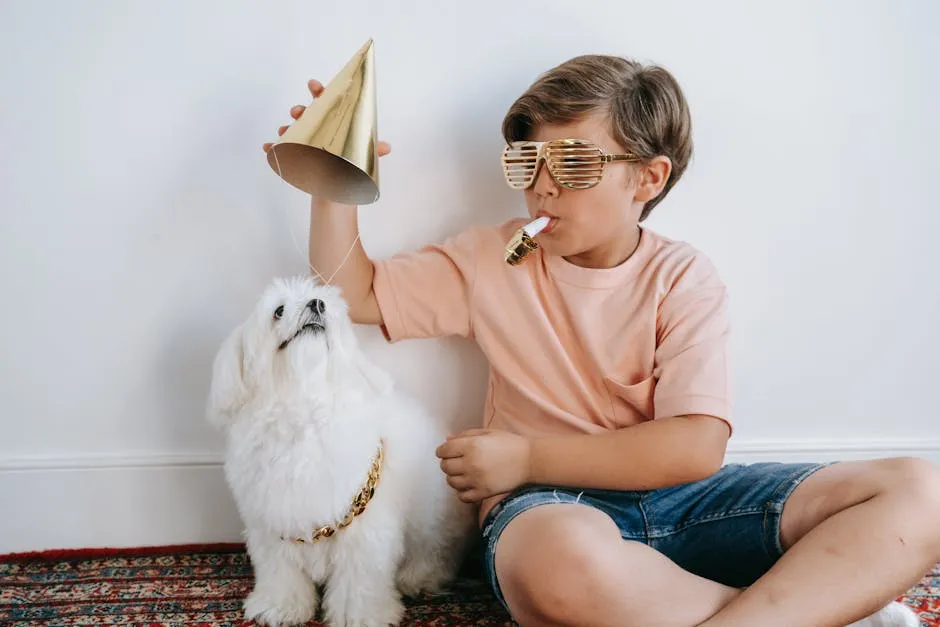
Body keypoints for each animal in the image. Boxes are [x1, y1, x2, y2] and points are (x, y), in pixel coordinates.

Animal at [207, 278, 478, 624]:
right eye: (278, 310)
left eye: (322, 302)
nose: (317, 305)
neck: (303, 407)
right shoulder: (273, 524)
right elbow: (282, 573)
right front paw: (281, 607)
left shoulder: (364, 531)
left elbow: (359, 581)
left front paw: (361, 616)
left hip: (433, 517)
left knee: (437, 552)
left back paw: (417, 578)